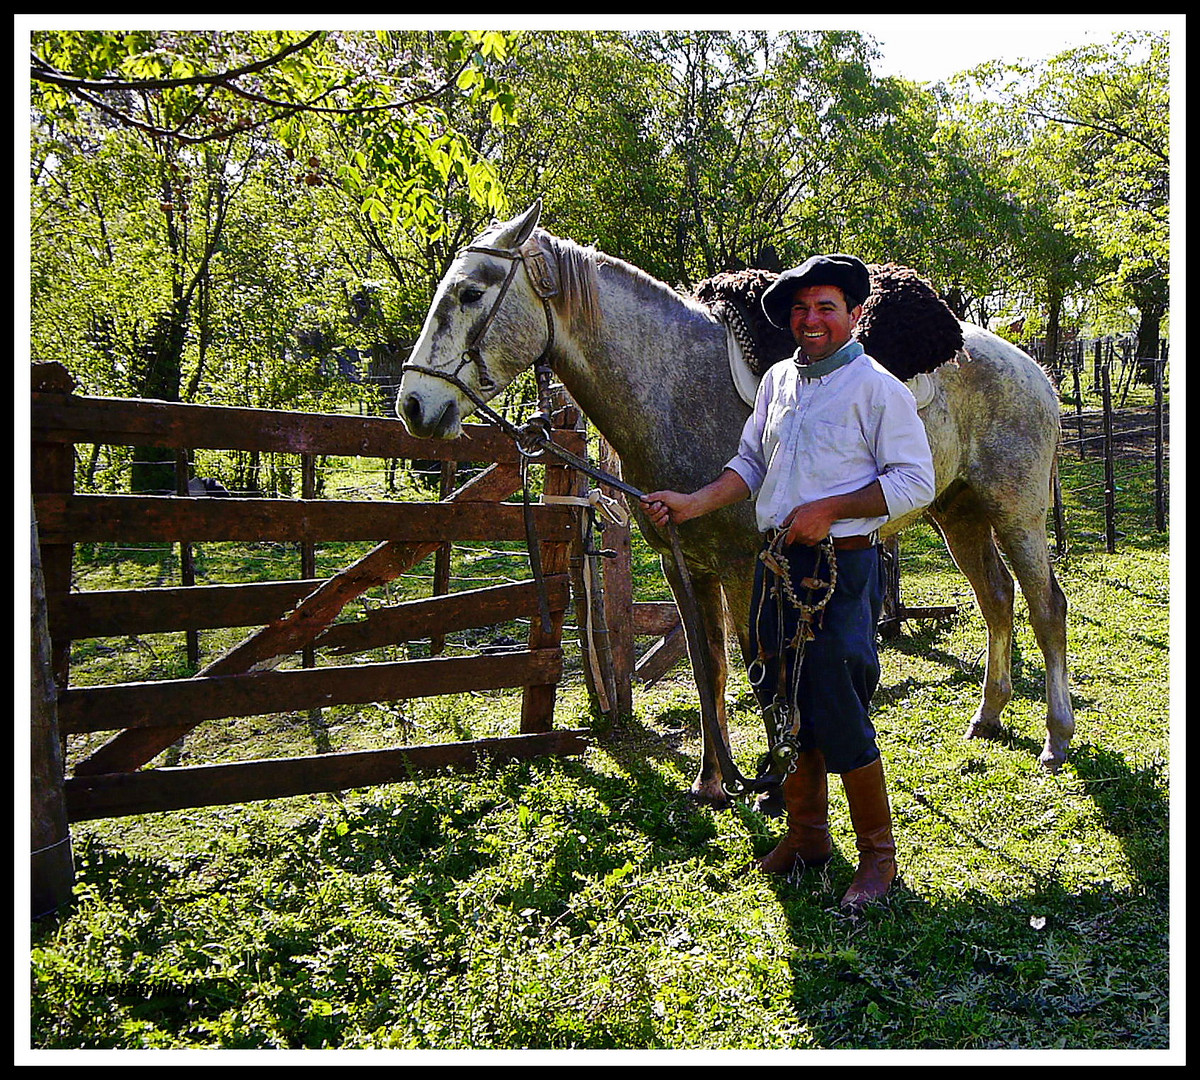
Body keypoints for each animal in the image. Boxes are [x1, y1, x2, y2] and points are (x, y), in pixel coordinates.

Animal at [398, 202, 1075, 806]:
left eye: (470, 293)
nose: (413, 405)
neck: (675, 389)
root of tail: (1034, 370)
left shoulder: (744, 566)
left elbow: (766, 673)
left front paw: (778, 784)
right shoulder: (685, 564)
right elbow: (710, 670)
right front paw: (714, 782)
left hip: (1016, 514)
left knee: (1046, 606)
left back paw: (1056, 738)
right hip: (960, 514)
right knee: (997, 598)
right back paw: (988, 715)